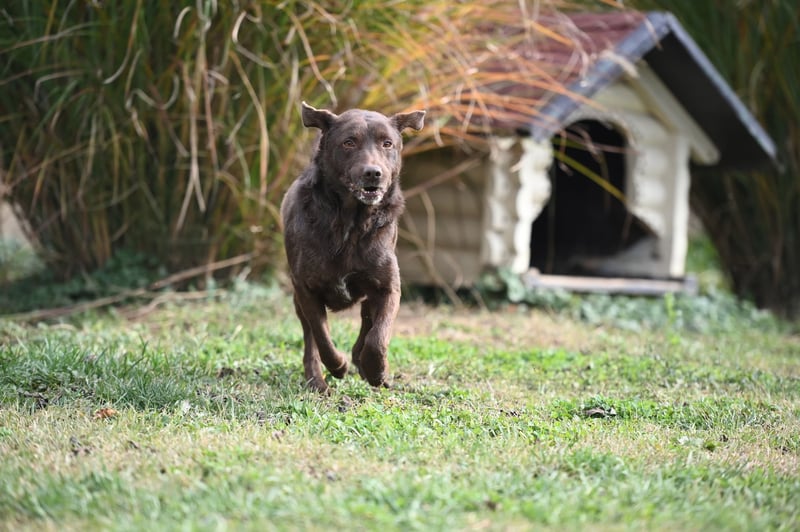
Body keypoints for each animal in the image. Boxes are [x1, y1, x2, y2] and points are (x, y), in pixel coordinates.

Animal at [280, 101, 425, 392]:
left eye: (387, 144)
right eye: (349, 142)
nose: (373, 173)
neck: (350, 224)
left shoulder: (388, 287)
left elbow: (377, 337)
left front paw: (376, 371)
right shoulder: (305, 289)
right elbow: (322, 336)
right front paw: (338, 366)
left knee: (367, 324)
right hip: (298, 299)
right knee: (310, 337)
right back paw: (317, 379)